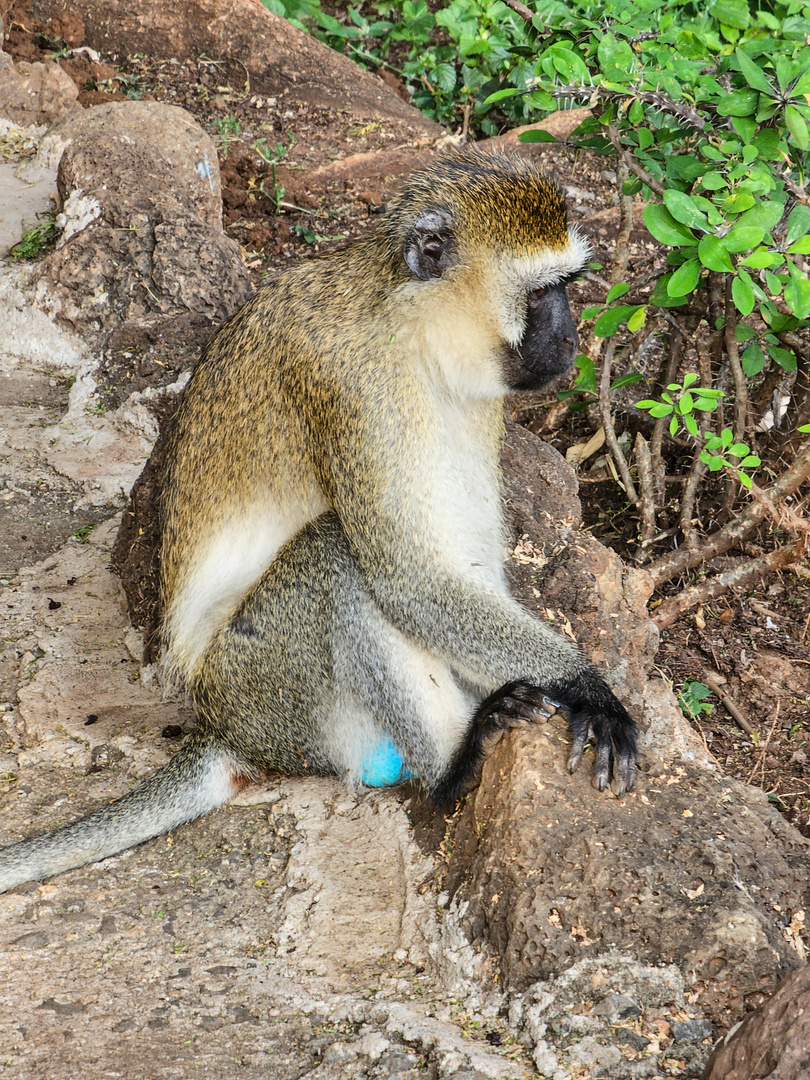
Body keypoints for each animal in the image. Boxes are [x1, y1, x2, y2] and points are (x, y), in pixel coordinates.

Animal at [0, 147, 639, 889]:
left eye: (568, 286)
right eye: (542, 295)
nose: (571, 338)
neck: (410, 323)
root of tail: (222, 727)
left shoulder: (476, 402)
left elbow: (464, 561)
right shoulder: (358, 389)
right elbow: (410, 581)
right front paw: (586, 685)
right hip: (269, 690)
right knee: (336, 555)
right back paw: (451, 769)